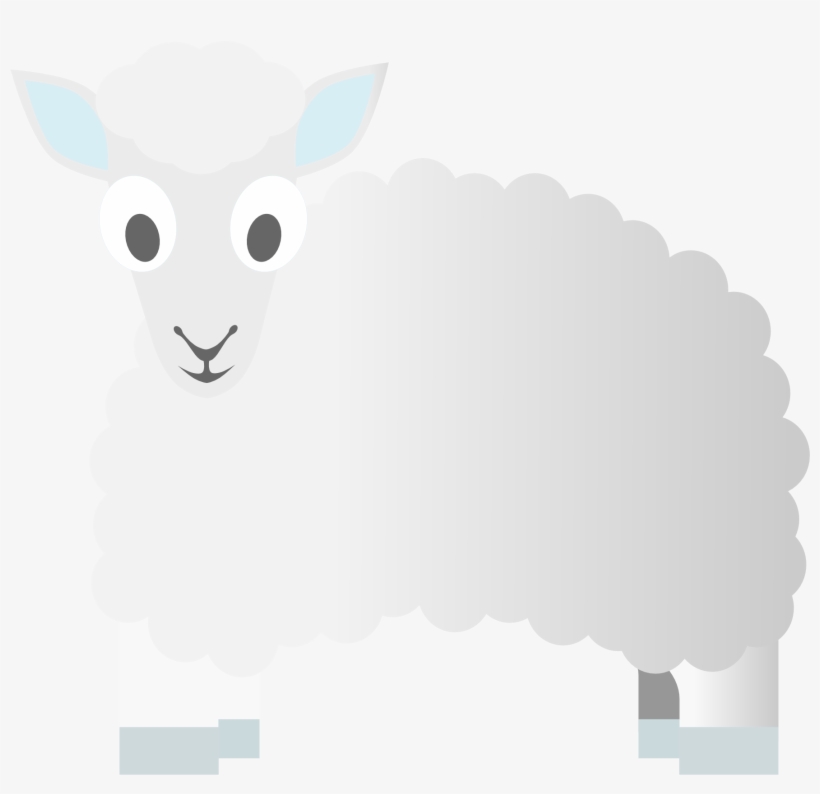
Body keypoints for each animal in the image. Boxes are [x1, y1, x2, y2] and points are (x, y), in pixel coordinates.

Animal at [13, 41, 809, 779]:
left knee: (735, 672)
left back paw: (715, 751)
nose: (206, 345)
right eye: (138, 233)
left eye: (266, 232)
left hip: (713, 566)